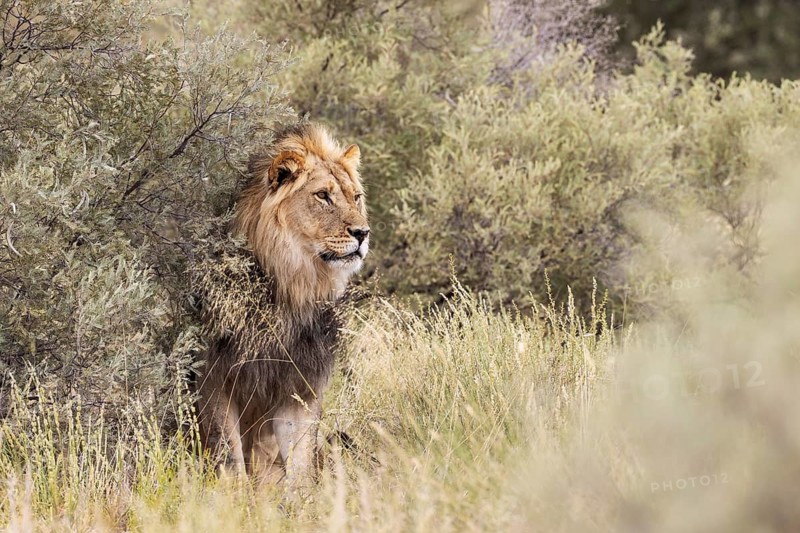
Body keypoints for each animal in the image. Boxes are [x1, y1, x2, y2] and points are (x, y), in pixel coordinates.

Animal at [196, 123, 368, 496]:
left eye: (356, 197)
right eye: (323, 196)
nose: (363, 233)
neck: (292, 286)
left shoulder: (300, 383)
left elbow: (301, 457)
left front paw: (301, 501)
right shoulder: (214, 377)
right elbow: (228, 452)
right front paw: (236, 500)